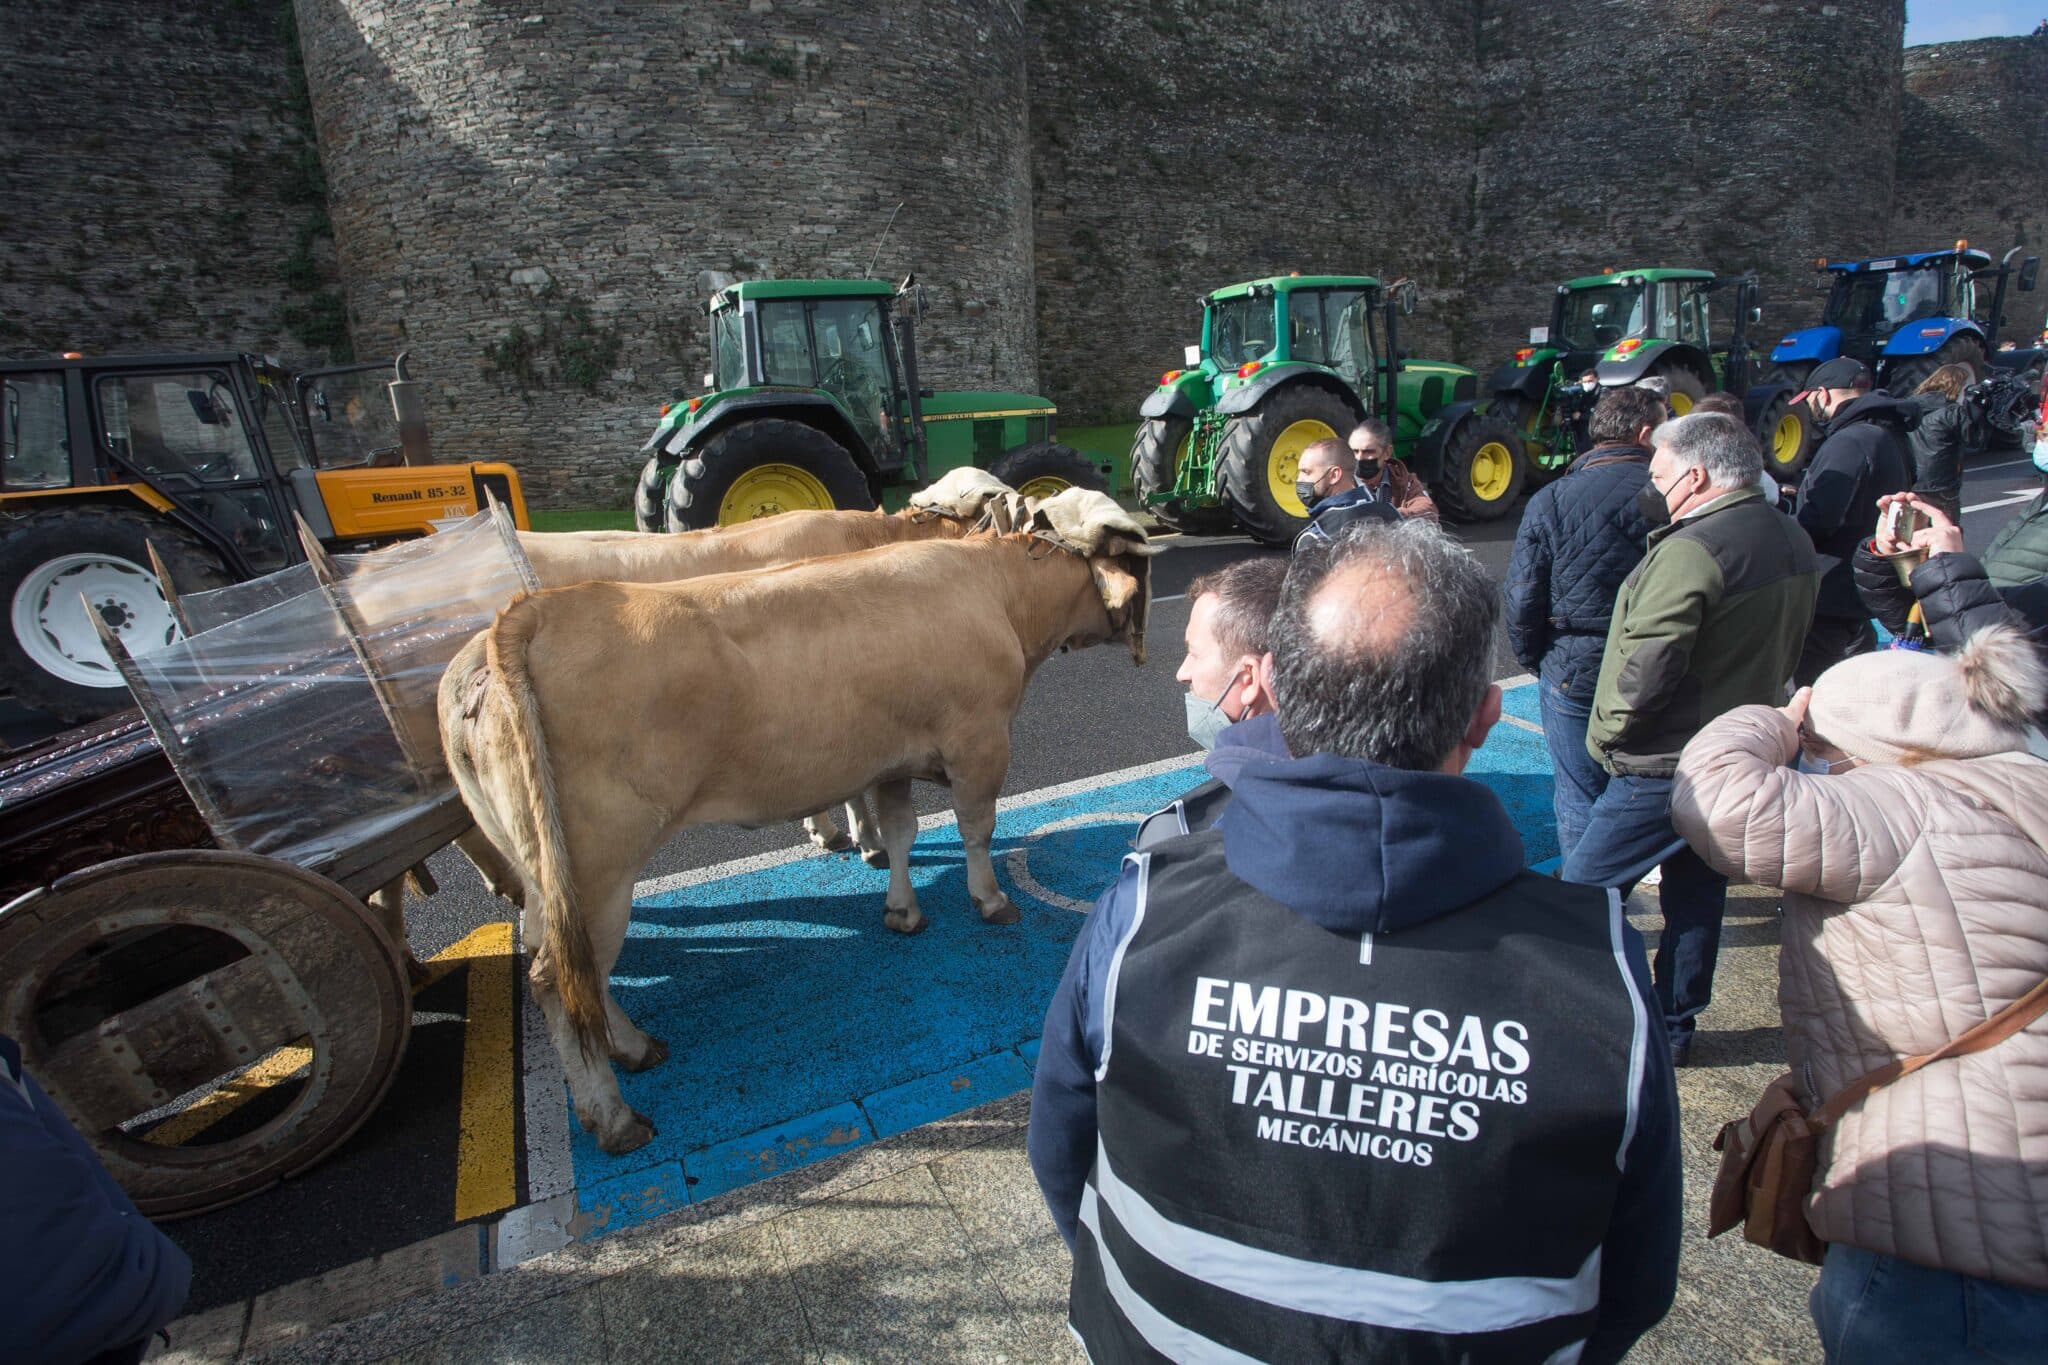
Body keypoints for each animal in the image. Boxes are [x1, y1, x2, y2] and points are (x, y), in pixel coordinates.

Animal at [440, 491, 1155, 1154]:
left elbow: (902, 833)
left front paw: (902, 909)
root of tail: (529, 615)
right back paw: (613, 1116)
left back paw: (634, 1047)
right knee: (558, 979)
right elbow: (976, 829)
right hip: (600, 868)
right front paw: (991, 900)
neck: (999, 593)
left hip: (545, 868)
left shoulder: (891, 755)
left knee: (564, 962)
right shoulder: (979, 743)